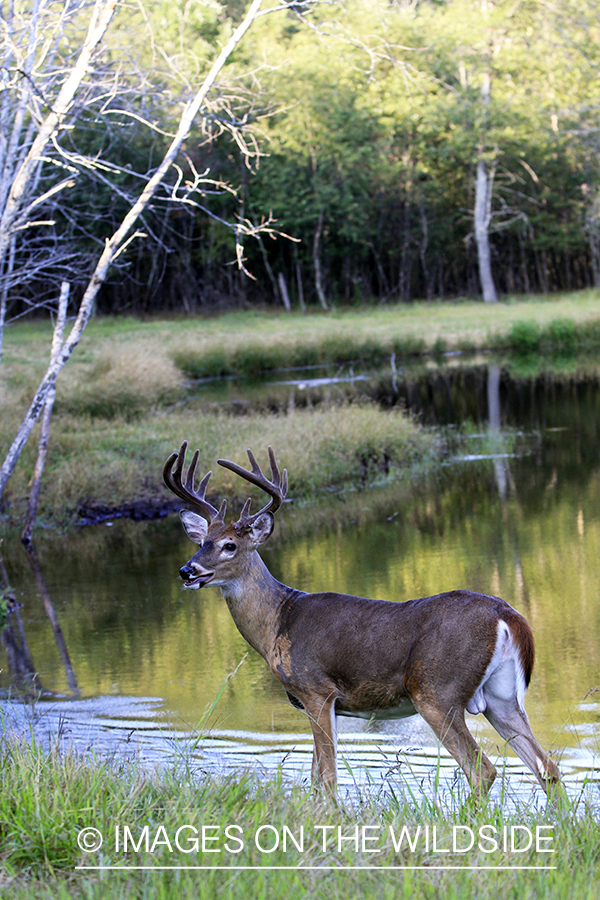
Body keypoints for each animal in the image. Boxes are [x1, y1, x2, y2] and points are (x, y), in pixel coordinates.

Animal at [162, 442, 560, 800]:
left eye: (229, 545)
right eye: (202, 541)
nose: (187, 570)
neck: (278, 620)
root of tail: (507, 615)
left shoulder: (316, 690)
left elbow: (326, 776)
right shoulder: (332, 706)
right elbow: (315, 776)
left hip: (436, 689)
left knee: (482, 770)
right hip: (501, 697)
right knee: (547, 767)